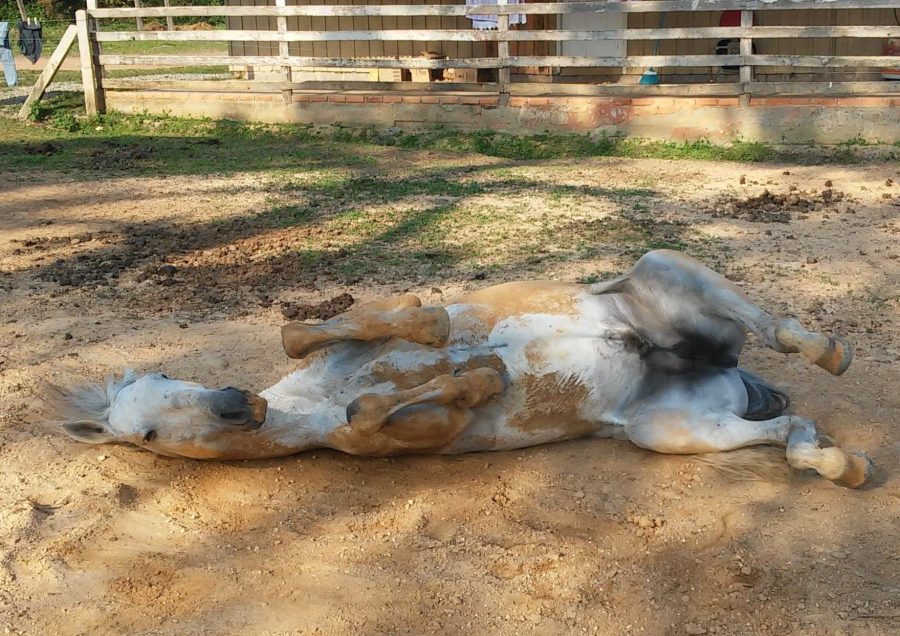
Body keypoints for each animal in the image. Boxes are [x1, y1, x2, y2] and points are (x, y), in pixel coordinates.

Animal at [44, 250, 874, 489]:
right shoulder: (412, 433)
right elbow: (370, 414)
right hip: (665, 430)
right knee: (790, 429)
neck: (312, 402)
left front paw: (438, 328)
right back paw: (840, 464)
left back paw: (830, 353)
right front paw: (482, 379)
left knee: (779, 330)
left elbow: (302, 331)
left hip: (662, 269)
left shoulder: (344, 338)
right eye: (148, 435)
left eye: (161, 380)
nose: (235, 407)